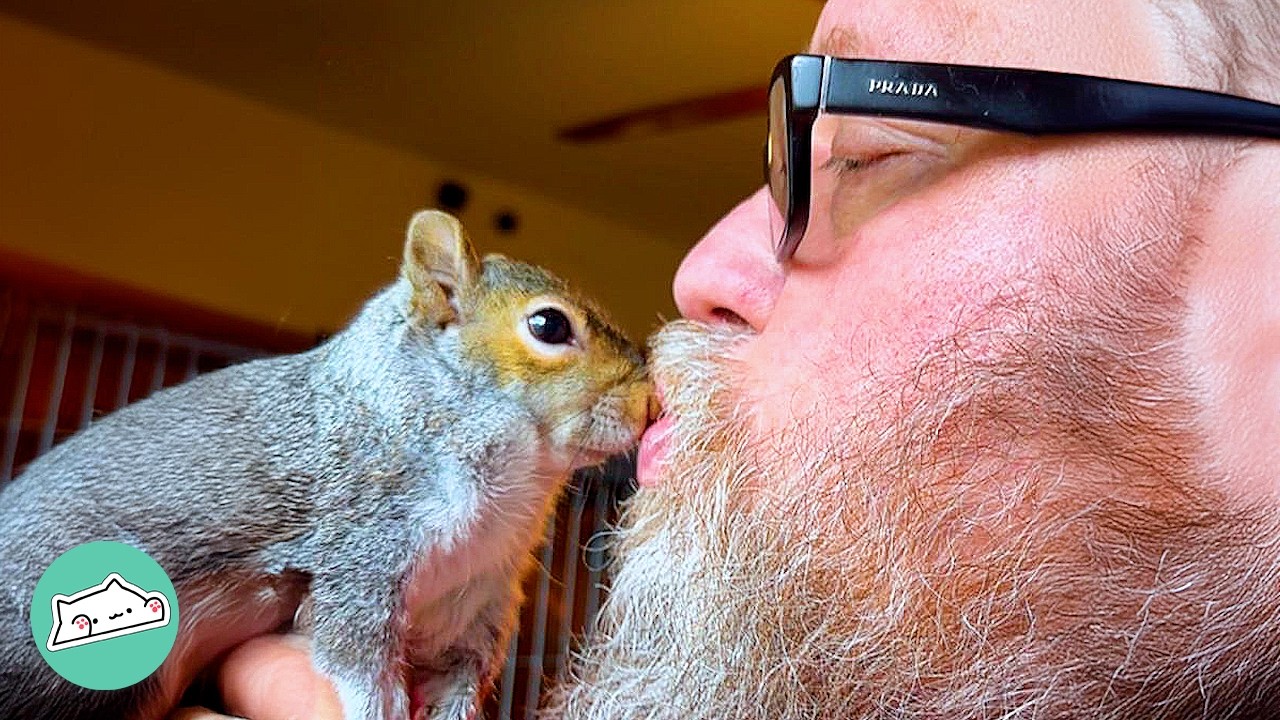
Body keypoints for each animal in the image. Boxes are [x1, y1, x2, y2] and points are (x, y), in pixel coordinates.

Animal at [0, 210, 654, 720]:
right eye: (549, 324)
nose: (648, 402)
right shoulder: (360, 546)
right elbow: (353, 650)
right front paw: (378, 708)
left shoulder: (478, 589)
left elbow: (462, 661)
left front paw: (454, 705)